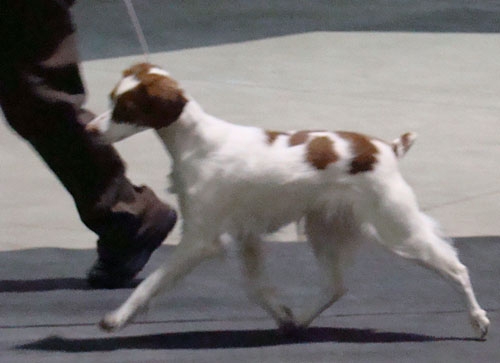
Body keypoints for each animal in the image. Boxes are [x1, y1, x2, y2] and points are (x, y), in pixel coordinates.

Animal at [88, 62, 490, 338]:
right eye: (111, 99)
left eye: (125, 108)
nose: (89, 129)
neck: (197, 143)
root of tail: (387, 148)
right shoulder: (245, 234)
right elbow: (255, 286)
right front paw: (282, 314)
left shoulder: (202, 238)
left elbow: (151, 283)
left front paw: (116, 318)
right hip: (324, 227)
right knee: (335, 285)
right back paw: (300, 322)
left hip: (395, 227)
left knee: (456, 268)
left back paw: (478, 321)